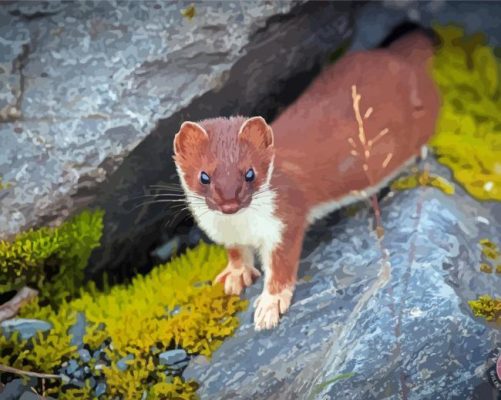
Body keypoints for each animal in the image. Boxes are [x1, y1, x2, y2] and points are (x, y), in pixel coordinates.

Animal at [172, 32, 438, 332]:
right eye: (204, 176)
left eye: (250, 173)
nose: (229, 203)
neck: (241, 225)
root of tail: (396, 57)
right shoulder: (227, 233)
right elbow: (237, 253)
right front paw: (235, 275)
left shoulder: (285, 219)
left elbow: (282, 266)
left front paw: (269, 306)